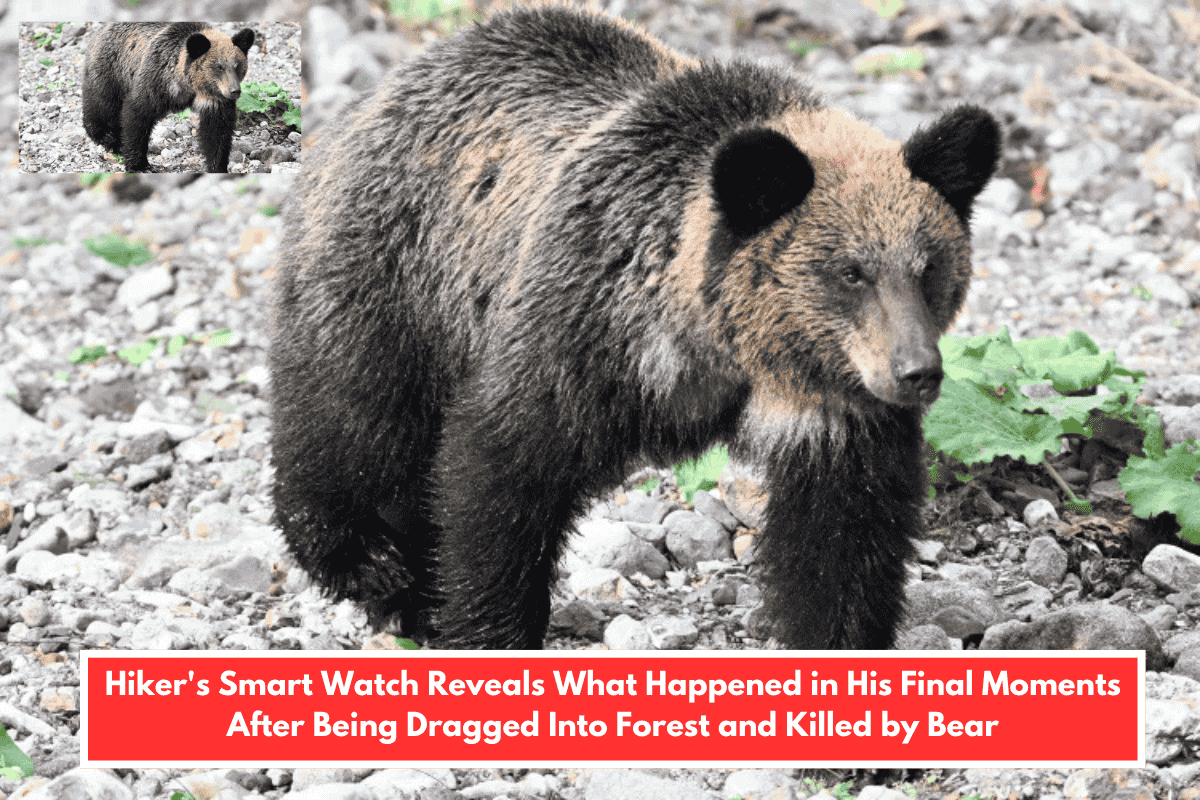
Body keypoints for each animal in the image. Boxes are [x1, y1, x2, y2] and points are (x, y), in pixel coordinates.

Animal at [82, 23, 255, 173]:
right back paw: (107, 137)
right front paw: (139, 165)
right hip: (112, 72)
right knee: (102, 103)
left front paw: (217, 167)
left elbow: (217, 133)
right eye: (218, 67)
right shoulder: (154, 82)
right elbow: (137, 116)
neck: (187, 87)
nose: (234, 91)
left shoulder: (215, 102)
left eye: (238, 65)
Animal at [269, 3, 1001, 649]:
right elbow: (499, 475)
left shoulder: (833, 412)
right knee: (355, 415)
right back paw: (372, 563)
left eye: (930, 266)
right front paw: (482, 627)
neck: (716, 351)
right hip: (398, 280)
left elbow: (844, 544)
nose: (916, 371)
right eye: (851, 271)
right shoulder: (577, 333)